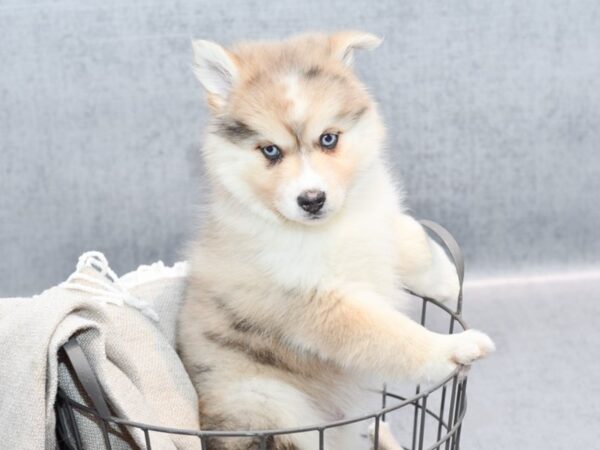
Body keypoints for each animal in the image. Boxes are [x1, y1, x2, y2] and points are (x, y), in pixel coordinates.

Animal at [177, 31, 492, 450]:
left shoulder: (375, 218)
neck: (329, 229)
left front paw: (446, 280)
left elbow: (410, 234)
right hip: (275, 409)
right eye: (271, 150)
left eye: (328, 139)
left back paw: (382, 430)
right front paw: (453, 348)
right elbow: (393, 335)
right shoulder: (319, 301)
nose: (312, 200)